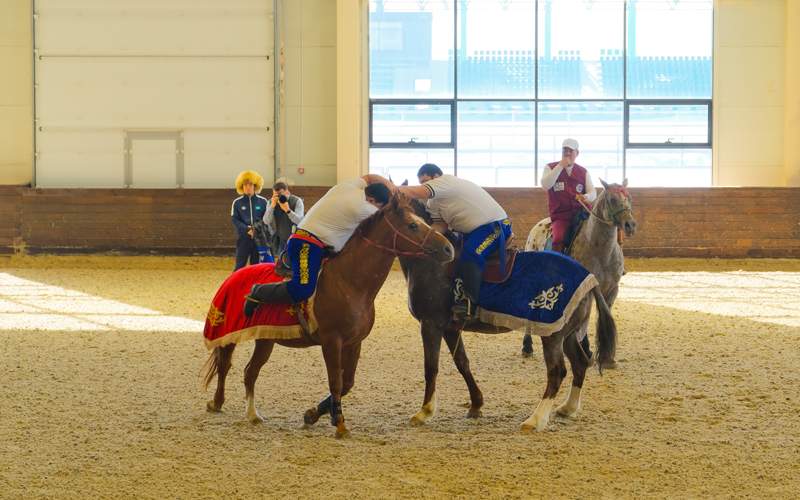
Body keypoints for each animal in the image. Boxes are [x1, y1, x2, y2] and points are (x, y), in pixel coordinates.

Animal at [203, 194, 454, 438]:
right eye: (412, 225)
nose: (448, 249)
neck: (350, 282)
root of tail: (235, 275)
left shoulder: (354, 343)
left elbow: (347, 382)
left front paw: (314, 414)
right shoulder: (331, 342)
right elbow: (336, 381)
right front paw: (340, 424)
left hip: (265, 340)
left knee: (250, 372)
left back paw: (252, 414)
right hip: (228, 335)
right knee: (225, 366)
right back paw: (217, 401)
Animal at [520, 180, 640, 364]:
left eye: (630, 198)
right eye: (612, 199)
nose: (630, 225)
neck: (600, 250)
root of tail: (537, 227)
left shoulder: (612, 289)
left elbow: (604, 313)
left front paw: (606, 356)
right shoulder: (587, 291)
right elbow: (586, 318)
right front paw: (586, 348)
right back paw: (527, 346)